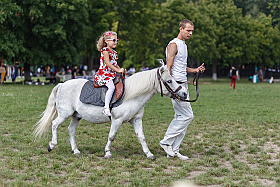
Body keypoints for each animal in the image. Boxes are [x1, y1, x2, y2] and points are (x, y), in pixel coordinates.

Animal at [34, 65, 188, 159]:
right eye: (169, 81)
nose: (185, 94)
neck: (131, 95)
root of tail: (62, 84)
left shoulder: (136, 120)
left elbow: (142, 137)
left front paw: (149, 154)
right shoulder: (117, 120)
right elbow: (111, 136)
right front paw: (107, 153)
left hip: (76, 116)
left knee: (70, 130)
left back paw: (75, 150)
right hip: (65, 114)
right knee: (54, 124)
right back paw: (51, 145)